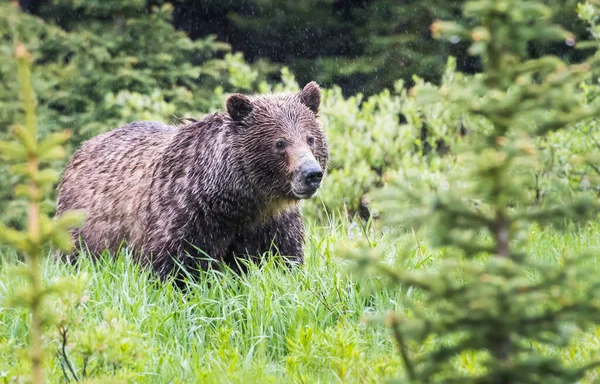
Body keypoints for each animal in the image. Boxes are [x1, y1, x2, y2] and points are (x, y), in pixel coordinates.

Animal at [55, 82, 328, 278]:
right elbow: (173, 267)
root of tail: (82, 148)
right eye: (280, 143)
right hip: (83, 227)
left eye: (310, 138)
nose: (311, 173)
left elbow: (283, 260)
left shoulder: (273, 224)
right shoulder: (187, 216)